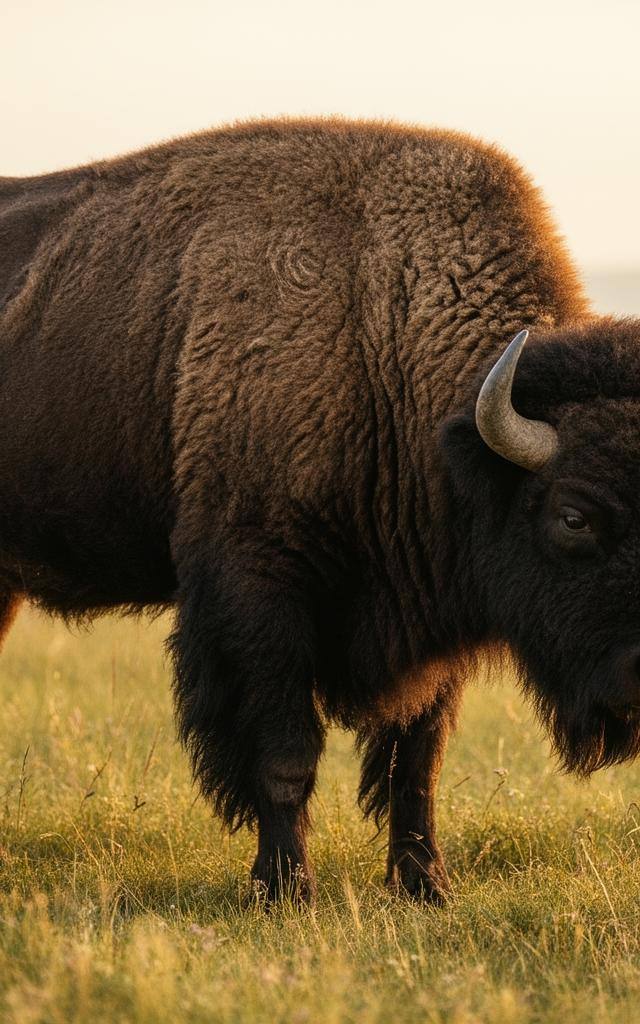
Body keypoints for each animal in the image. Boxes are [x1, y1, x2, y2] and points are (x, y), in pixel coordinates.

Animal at [1, 118, 637, 903]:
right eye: (573, 516)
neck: (376, 328)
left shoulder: (434, 624)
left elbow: (413, 763)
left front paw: (425, 886)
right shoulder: (260, 597)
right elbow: (286, 755)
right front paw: (285, 888)